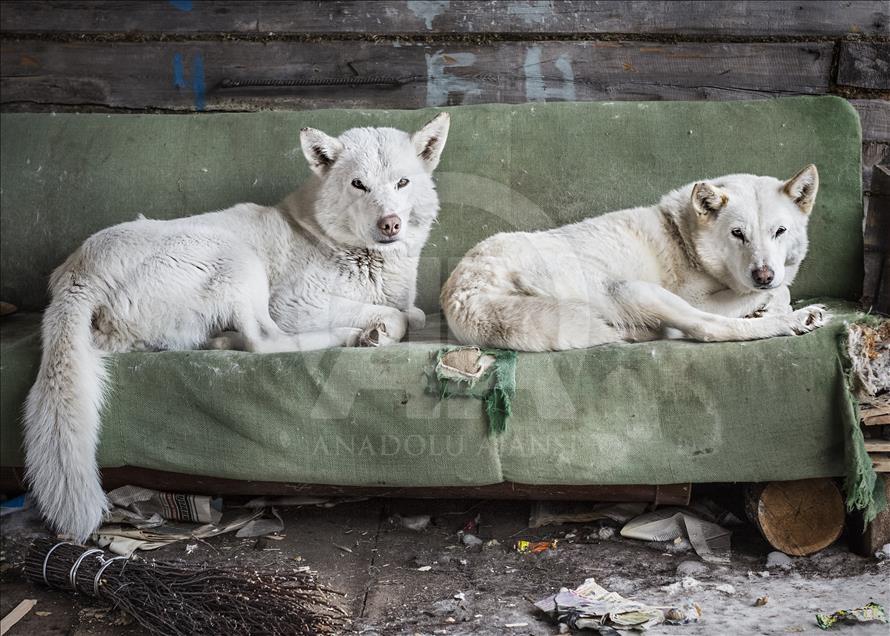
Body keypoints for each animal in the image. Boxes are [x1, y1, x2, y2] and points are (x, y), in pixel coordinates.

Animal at [24, 112, 450, 540]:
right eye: (358, 184)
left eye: (402, 183)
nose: (390, 224)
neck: (332, 238)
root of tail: (76, 275)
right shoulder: (298, 303)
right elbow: (395, 316)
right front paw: (376, 330)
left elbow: (412, 312)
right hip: (237, 258)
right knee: (264, 340)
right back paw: (349, 337)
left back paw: (221, 341)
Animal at [442, 165, 824, 352]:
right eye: (737, 234)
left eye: (780, 231)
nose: (763, 274)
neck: (685, 236)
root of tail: (465, 293)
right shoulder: (701, 298)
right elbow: (777, 292)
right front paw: (772, 309)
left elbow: (779, 291)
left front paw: (768, 304)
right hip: (633, 290)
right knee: (707, 329)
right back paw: (797, 320)